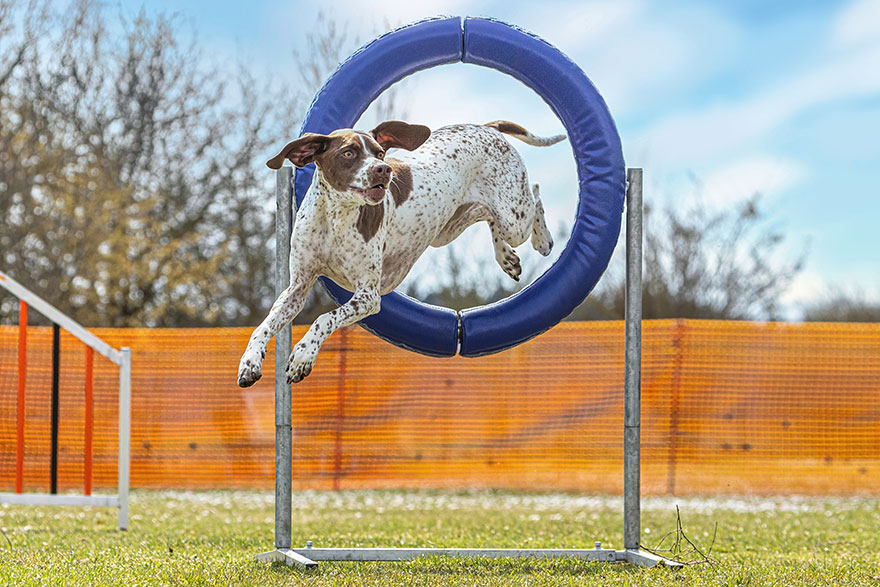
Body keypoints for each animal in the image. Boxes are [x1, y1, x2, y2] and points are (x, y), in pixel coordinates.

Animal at [235, 120, 564, 388]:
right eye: (349, 153)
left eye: (380, 152)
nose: (383, 169)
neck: (335, 217)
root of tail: (485, 127)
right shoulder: (296, 289)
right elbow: (263, 327)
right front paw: (249, 362)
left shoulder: (368, 296)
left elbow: (324, 319)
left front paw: (303, 355)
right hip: (449, 229)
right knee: (487, 214)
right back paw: (506, 257)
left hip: (514, 216)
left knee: (534, 195)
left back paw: (543, 239)